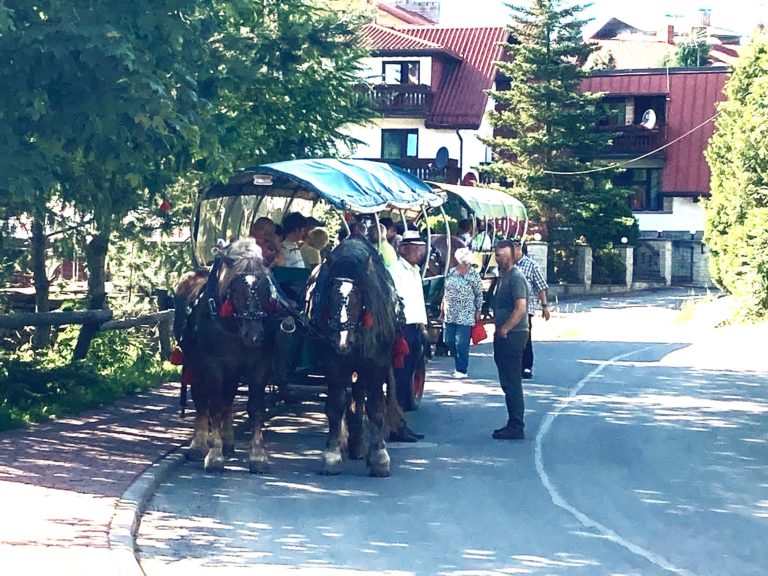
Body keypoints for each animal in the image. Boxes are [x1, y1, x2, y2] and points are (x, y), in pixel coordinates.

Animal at [174, 237, 282, 472]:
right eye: (237, 288)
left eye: (265, 287)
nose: (254, 335)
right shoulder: (212, 364)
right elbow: (214, 405)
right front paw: (214, 455)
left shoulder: (260, 364)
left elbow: (255, 407)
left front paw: (258, 455)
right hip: (194, 363)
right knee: (201, 399)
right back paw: (199, 445)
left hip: (232, 369)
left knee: (229, 398)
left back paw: (228, 441)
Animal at [306, 235, 402, 476]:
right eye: (331, 296)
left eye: (358, 296)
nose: (342, 341)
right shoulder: (333, 364)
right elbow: (335, 404)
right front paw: (332, 455)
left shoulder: (377, 365)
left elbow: (376, 406)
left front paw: (379, 457)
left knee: (360, 397)